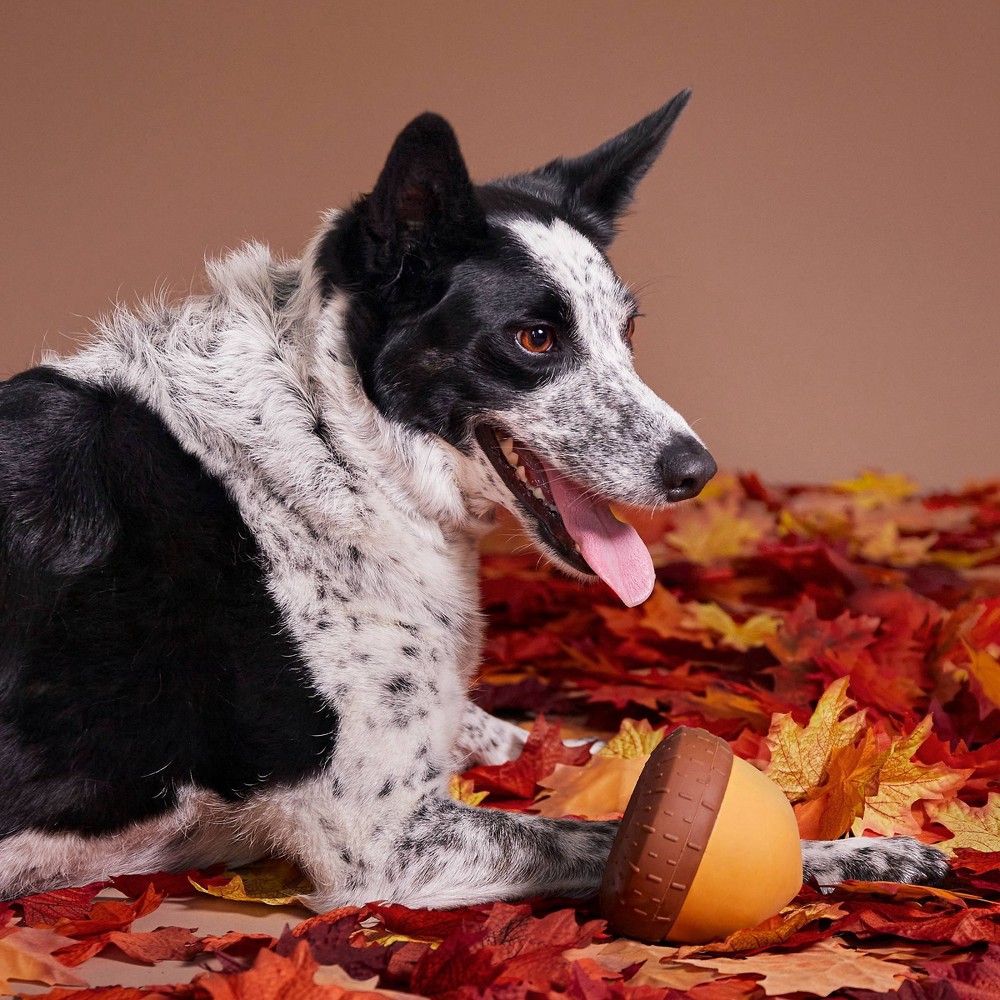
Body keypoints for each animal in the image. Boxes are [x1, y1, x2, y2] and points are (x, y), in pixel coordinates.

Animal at [0, 92, 944, 908]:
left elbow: (559, 744)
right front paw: (847, 851)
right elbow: (600, 833)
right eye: (534, 339)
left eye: (628, 331)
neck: (333, 437)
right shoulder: (391, 842)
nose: (696, 471)